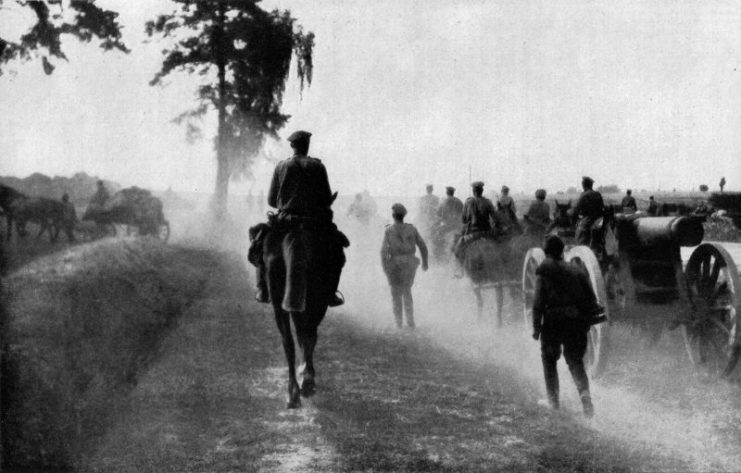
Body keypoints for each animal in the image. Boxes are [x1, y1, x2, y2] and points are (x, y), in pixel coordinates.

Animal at [262, 213, 346, 406]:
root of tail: (297, 233)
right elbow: (308, 335)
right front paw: (306, 373)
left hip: (282, 302)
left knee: (289, 340)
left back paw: (294, 391)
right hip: (315, 301)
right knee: (304, 336)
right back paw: (305, 383)